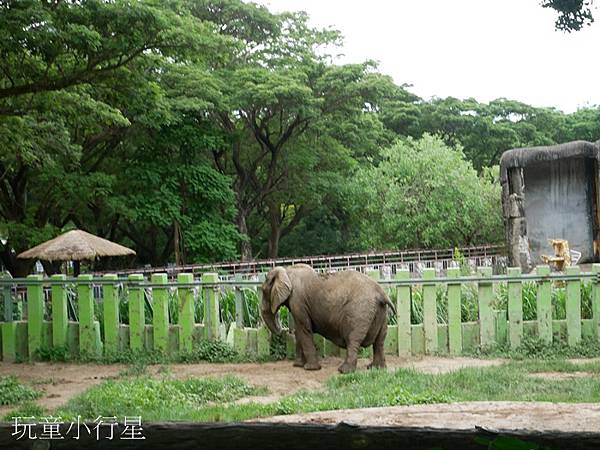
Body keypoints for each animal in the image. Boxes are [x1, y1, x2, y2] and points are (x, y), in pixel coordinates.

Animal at [260, 264, 396, 372]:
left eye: (263, 291)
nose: (282, 331)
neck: (287, 270)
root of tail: (381, 293)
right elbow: (300, 331)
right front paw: (298, 365)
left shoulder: (298, 301)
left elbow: (304, 330)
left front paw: (310, 369)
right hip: (381, 312)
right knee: (380, 340)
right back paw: (376, 368)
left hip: (359, 311)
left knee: (354, 339)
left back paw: (344, 371)